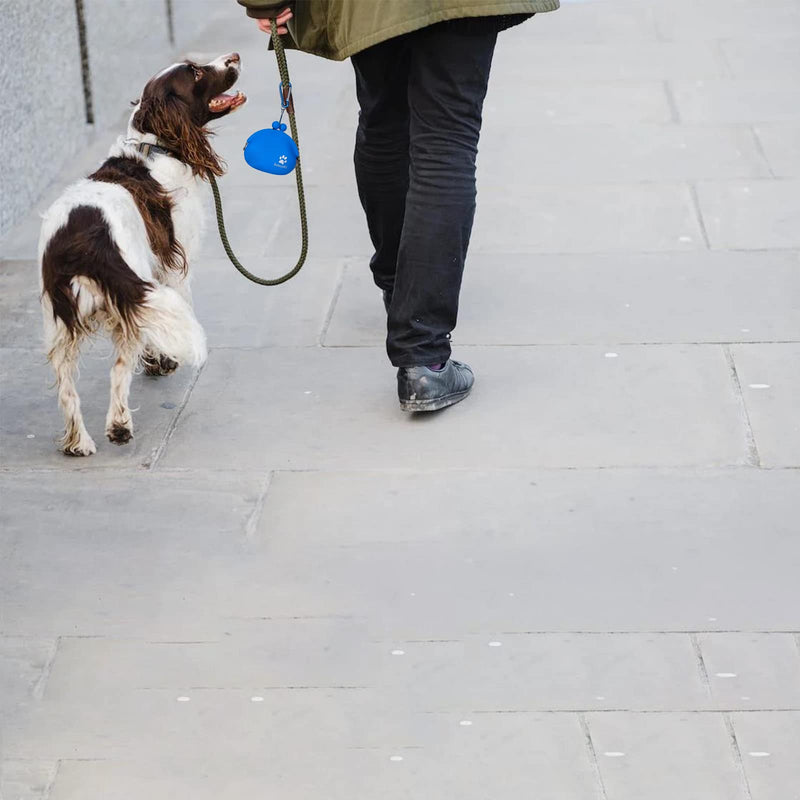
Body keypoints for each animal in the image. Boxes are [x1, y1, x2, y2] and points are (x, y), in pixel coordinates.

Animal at [39, 53, 245, 456]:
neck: (155, 146)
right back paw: (119, 426)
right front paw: (163, 360)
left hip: (61, 322)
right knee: (118, 370)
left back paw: (78, 442)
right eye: (194, 72)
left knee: (67, 385)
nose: (234, 57)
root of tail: (81, 242)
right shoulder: (171, 264)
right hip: (125, 292)